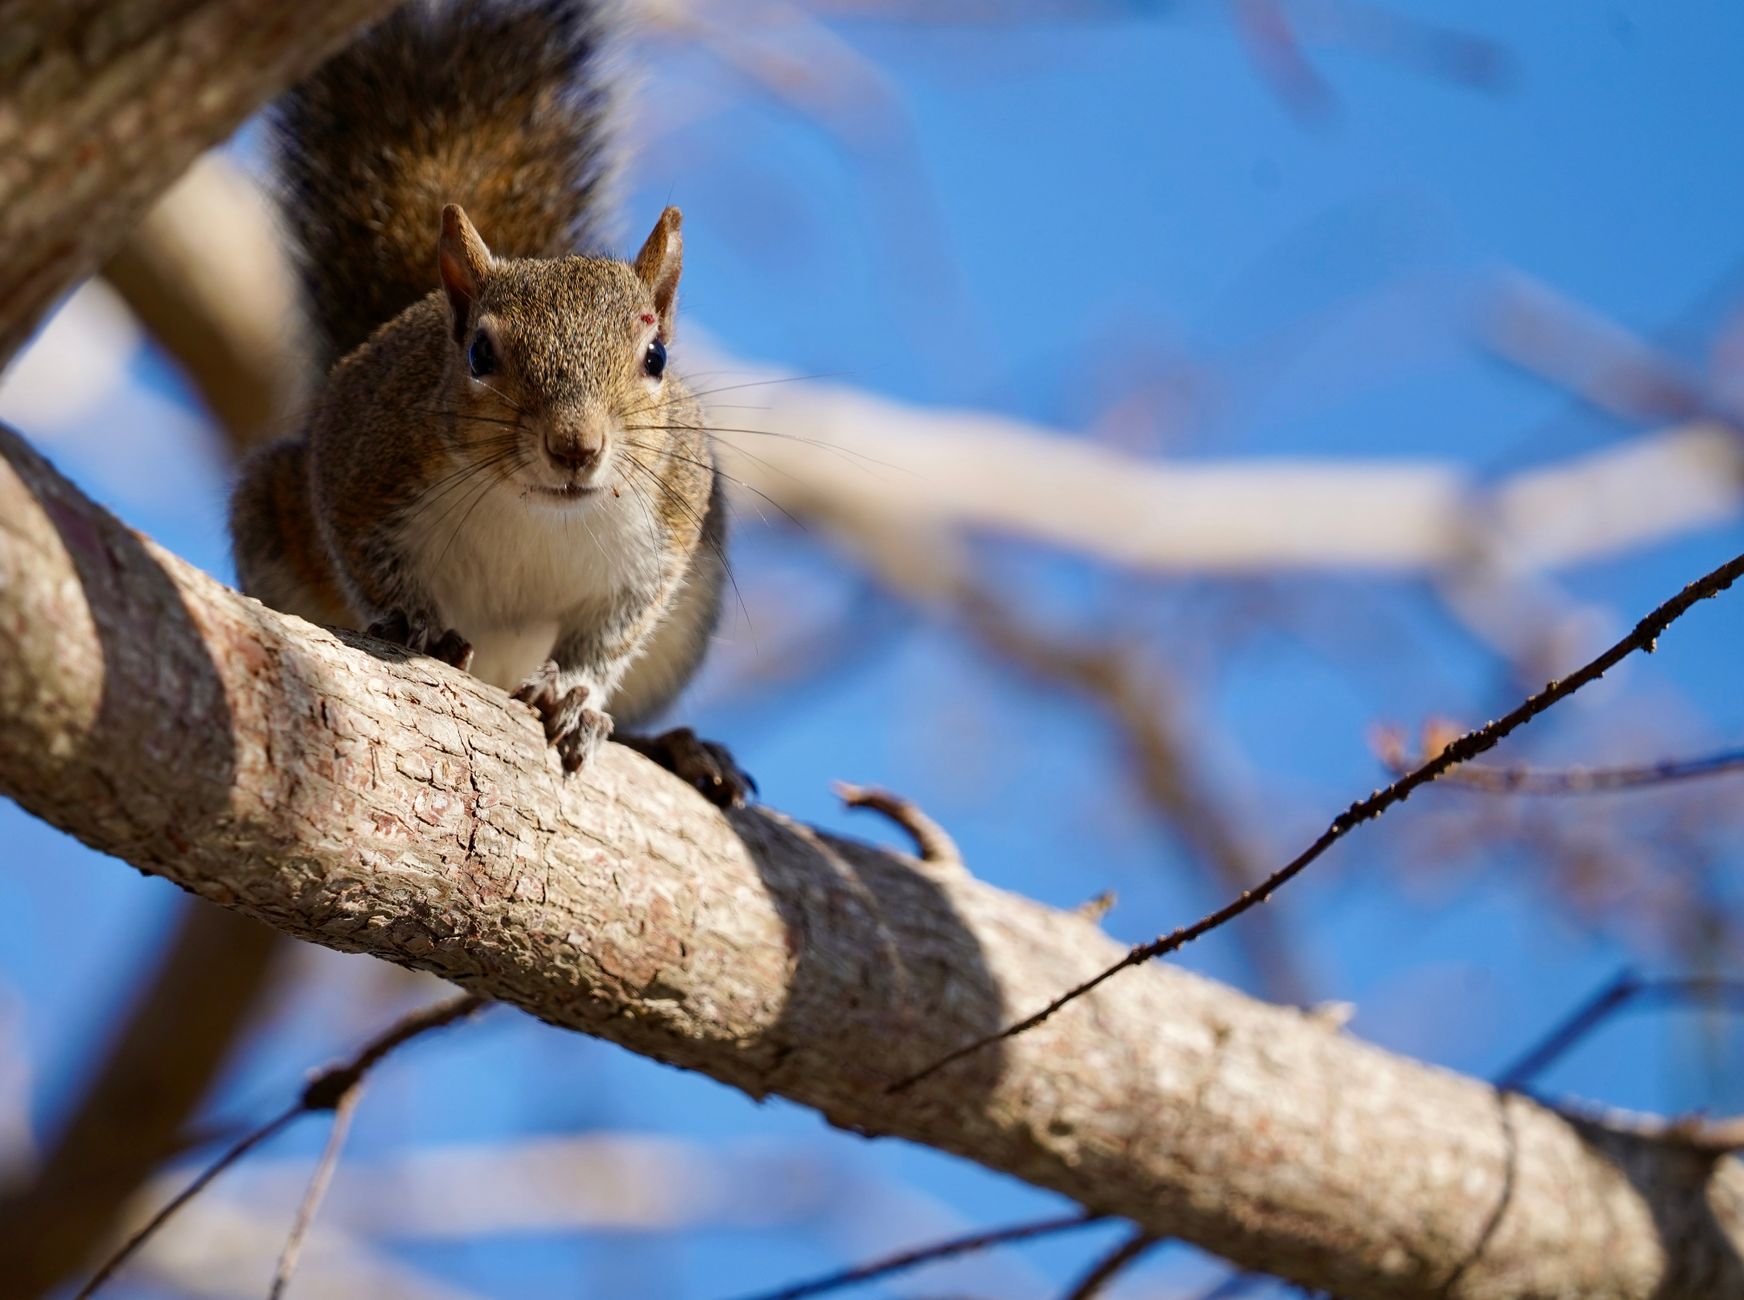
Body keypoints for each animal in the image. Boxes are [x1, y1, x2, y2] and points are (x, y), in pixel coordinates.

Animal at [229, 0, 751, 805]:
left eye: (656, 357)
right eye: (478, 355)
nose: (575, 447)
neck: (534, 511)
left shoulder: (672, 521)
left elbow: (614, 629)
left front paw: (573, 690)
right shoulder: (363, 457)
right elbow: (363, 557)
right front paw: (413, 624)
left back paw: (679, 749)